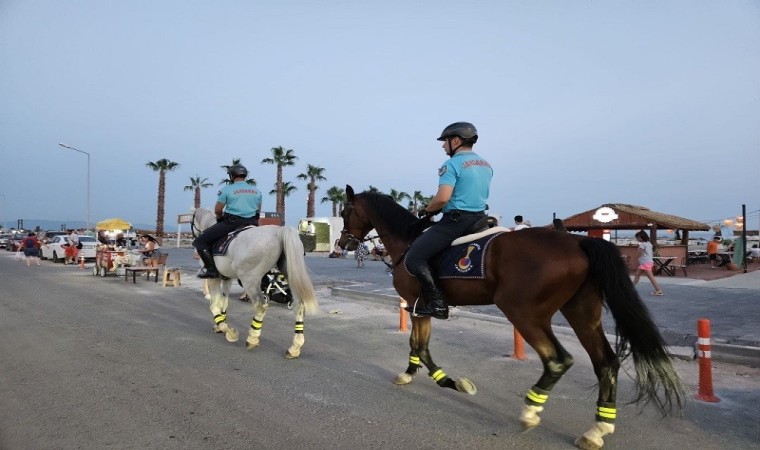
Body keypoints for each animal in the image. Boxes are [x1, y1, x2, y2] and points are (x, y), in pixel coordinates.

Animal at [193, 207, 320, 358]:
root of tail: (278, 232)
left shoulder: (214, 278)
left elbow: (214, 305)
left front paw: (227, 330)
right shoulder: (227, 278)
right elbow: (224, 303)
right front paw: (220, 325)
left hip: (250, 281)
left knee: (260, 305)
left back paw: (252, 338)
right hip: (290, 276)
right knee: (298, 305)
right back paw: (294, 347)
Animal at [338, 185, 684, 448]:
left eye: (344, 212)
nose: (343, 243)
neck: (408, 242)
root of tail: (577, 240)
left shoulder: (416, 305)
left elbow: (419, 346)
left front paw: (447, 382)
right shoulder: (419, 307)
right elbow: (418, 346)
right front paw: (418, 375)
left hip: (524, 313)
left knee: (558, 360)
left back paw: (531, 411)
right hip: (581, 314)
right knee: (605, 362)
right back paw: (597, 429)